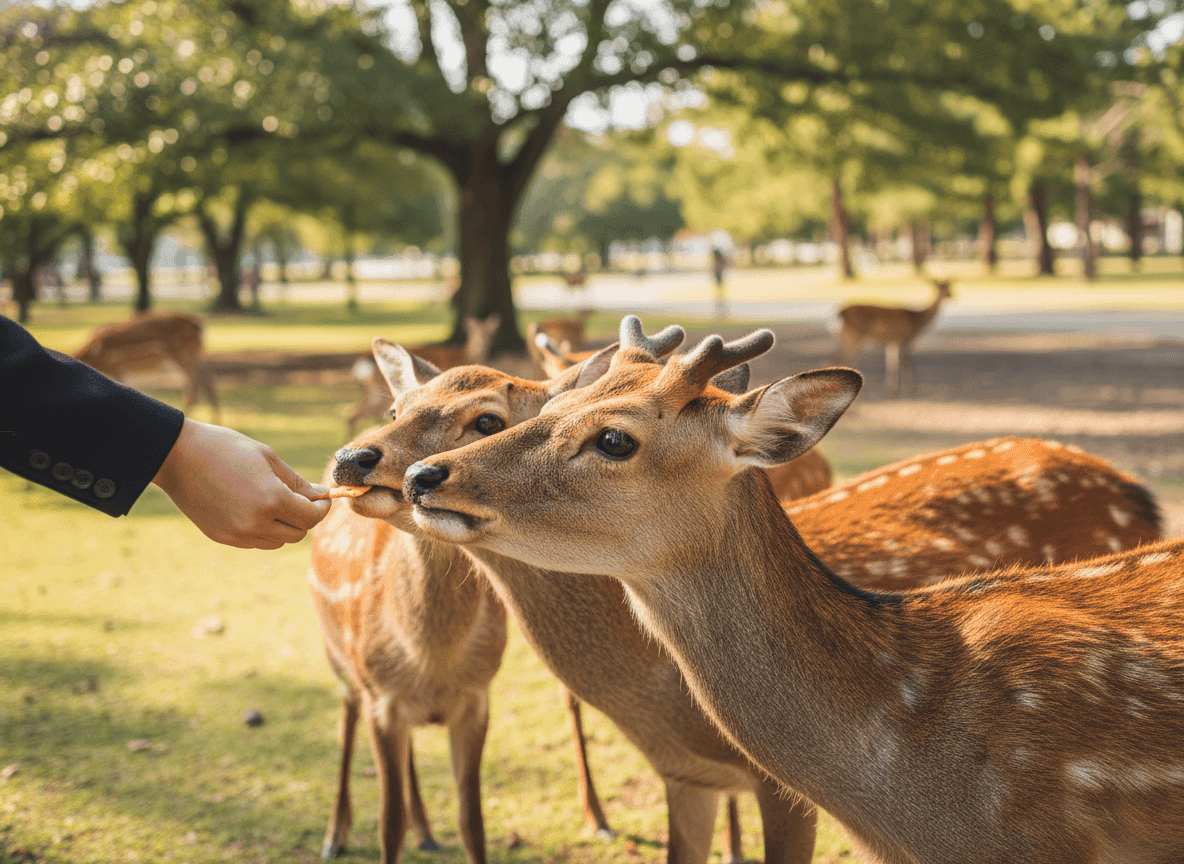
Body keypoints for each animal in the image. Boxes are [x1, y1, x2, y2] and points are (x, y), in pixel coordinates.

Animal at [72, 311, 219, 421]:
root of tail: (200, 325)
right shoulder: (121, 370)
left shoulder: (116, 366)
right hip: (195, 354)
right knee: (206, 381)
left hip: (181, 354)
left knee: (195, 387)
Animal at [345, 314, 500, 439]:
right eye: (475, 332)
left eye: (490, 333)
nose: (481, 342)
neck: (464, 355)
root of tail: (362, 364)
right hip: (379, 391)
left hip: (373, 392)